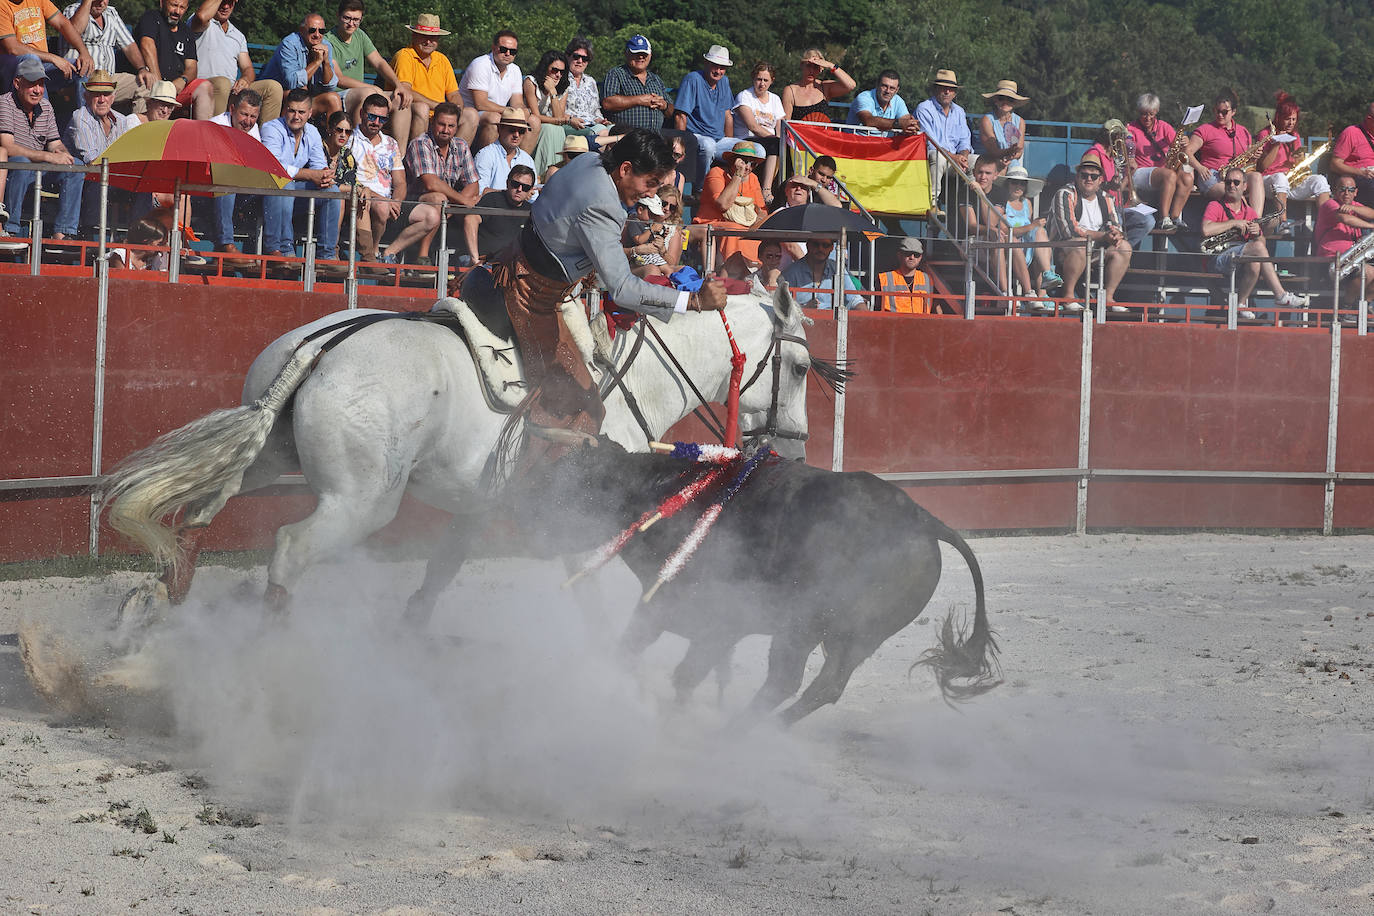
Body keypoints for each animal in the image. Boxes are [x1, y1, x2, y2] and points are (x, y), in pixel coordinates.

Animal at [101, 287, 829, 631]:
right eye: (798, 367)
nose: (796, 445)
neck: (631, 380)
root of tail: (326, 347)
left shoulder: (480, 508)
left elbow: (440, 574)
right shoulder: (584, 523)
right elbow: (593, 599)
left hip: (265, 454)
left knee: (200, 511)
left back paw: (154, 608)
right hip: (361, 502)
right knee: (290, 550)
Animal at [513, 439, 1000, 725]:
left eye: (563, 487)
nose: (507, 505)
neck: (660, 491)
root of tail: (921, 519)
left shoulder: (681, 609)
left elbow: (644, 654)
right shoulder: (711, 624)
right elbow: (681, 670)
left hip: (802, 626)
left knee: (787, 680)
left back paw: (736, 732)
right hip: (855, 638)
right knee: (826, 685)